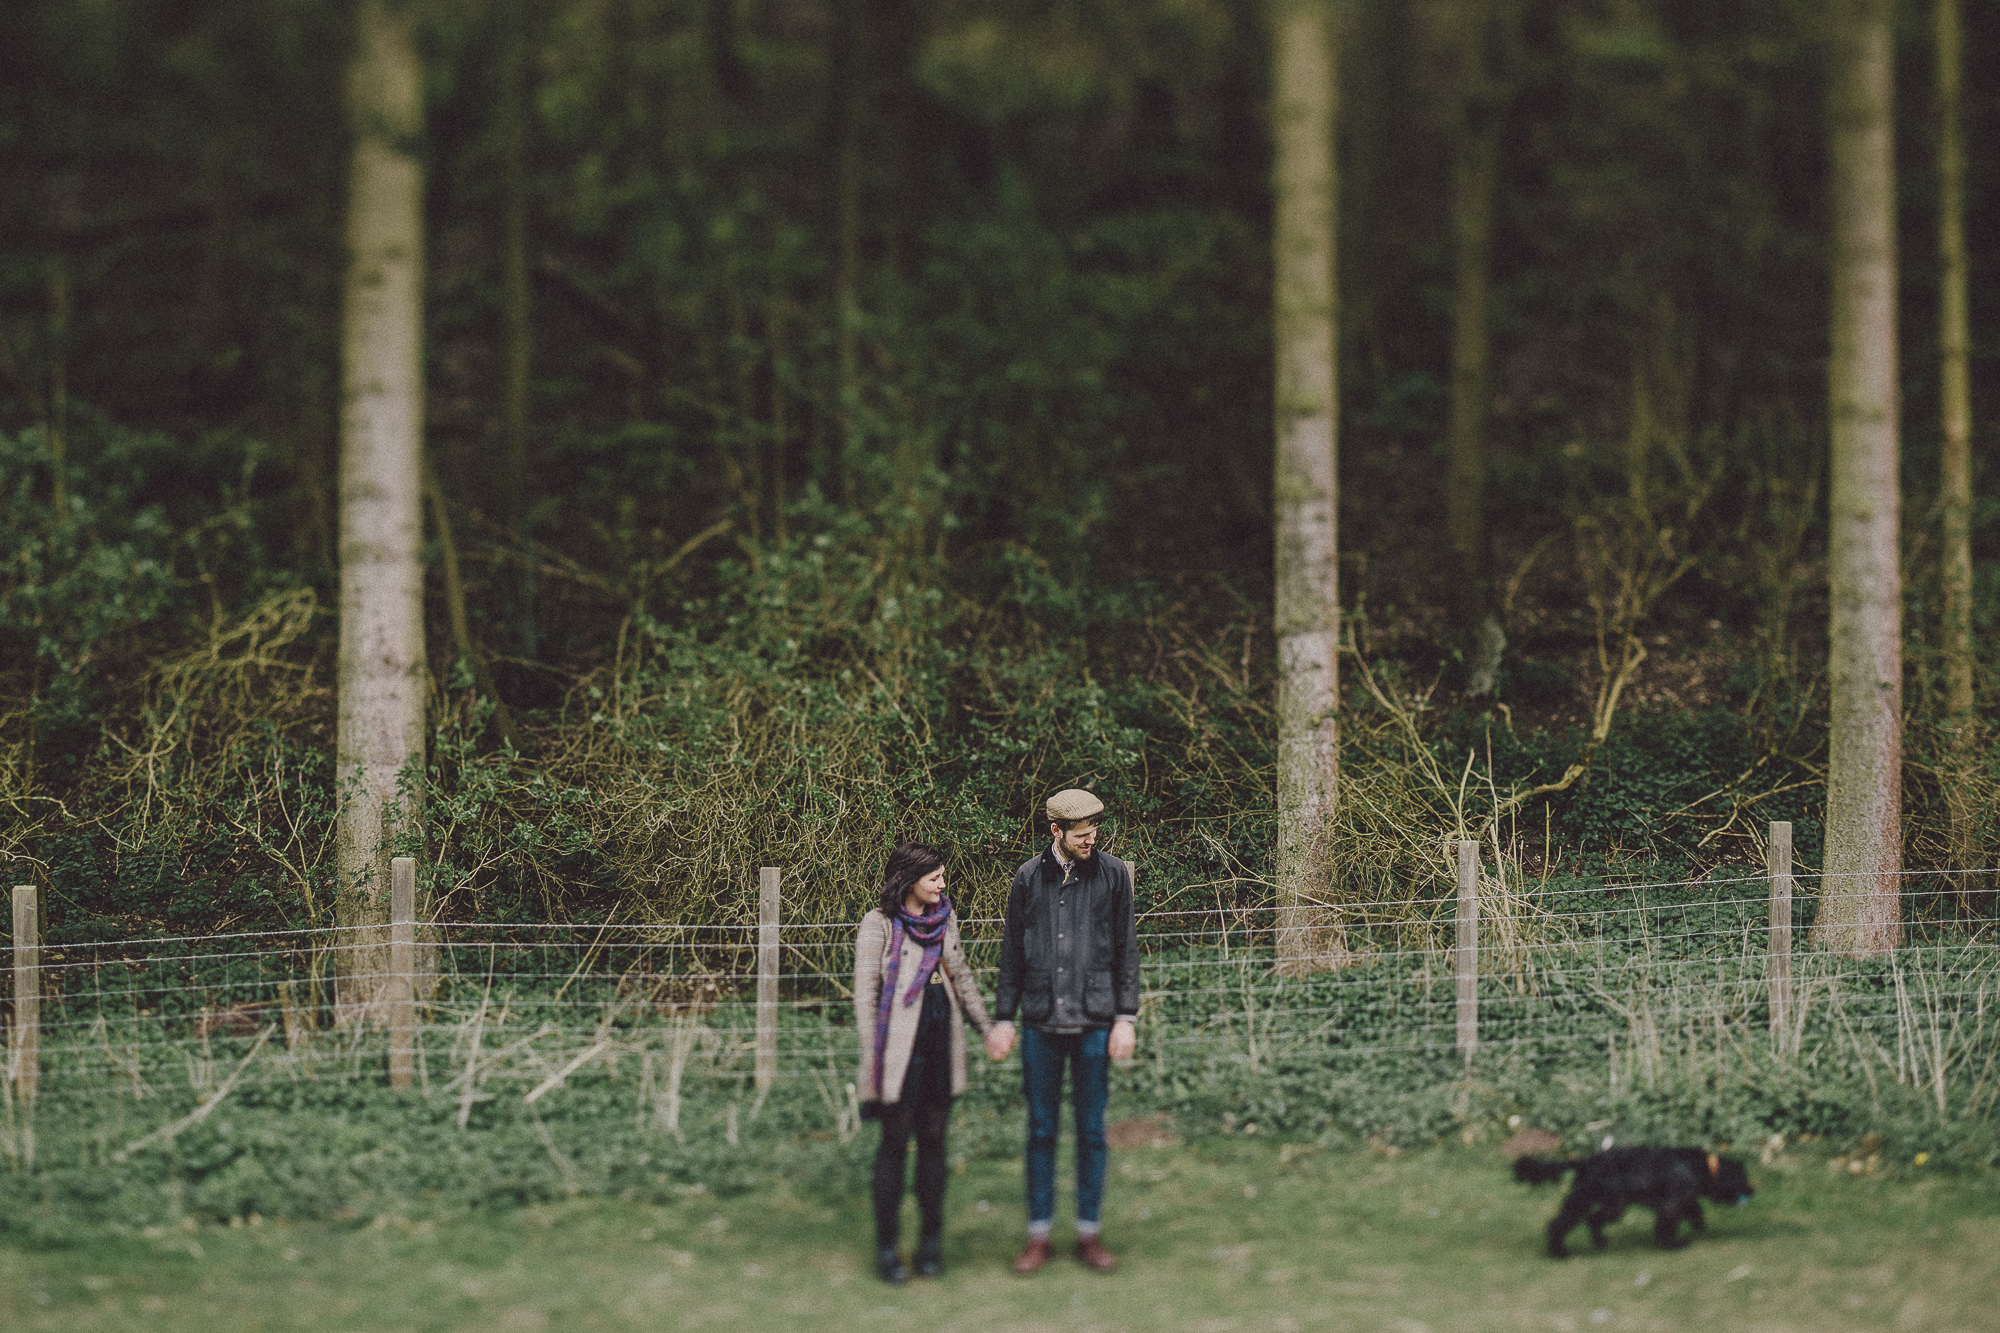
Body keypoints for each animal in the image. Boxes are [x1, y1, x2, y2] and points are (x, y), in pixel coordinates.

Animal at [1512, 1144, 1752, 1256]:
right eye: (1744, 1179)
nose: (1752, 1191)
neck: (1701, 1167)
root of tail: (1586, 1161)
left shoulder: (1682, 1199)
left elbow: (1694, 1210)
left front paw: (1698, 1225)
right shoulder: (1671, 1204)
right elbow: (1667, 1226)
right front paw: (1673, 1245)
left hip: (1586, 1200)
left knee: (1578, 1221)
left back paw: (1596, 1243)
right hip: (1610, 1203)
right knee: (1571, 1222)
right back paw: (1559, 1253)